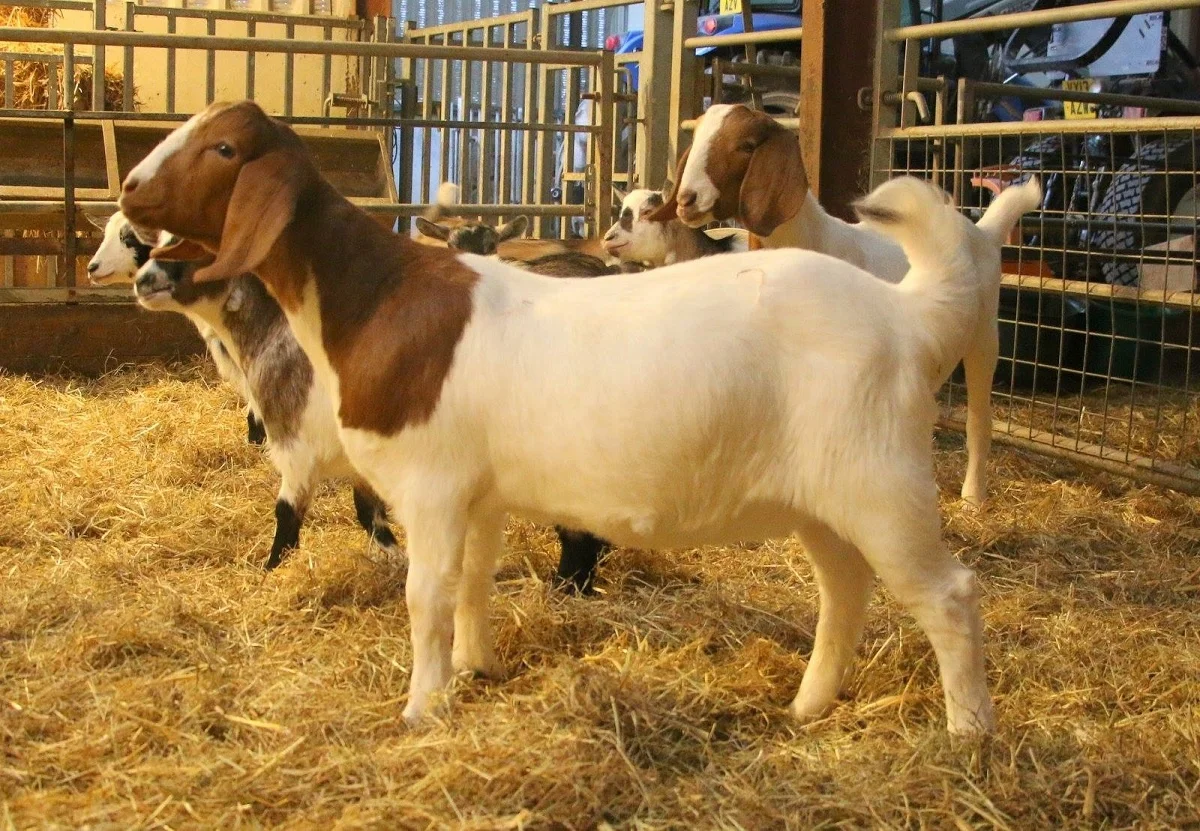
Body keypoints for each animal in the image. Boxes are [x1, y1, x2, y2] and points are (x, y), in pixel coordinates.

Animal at [651, 104, 998, 506]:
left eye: (746, 145)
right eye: (695, 139)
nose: (686, 200)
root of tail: (980, 229)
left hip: (984, 337)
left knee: (978, 419)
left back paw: (973, 496)